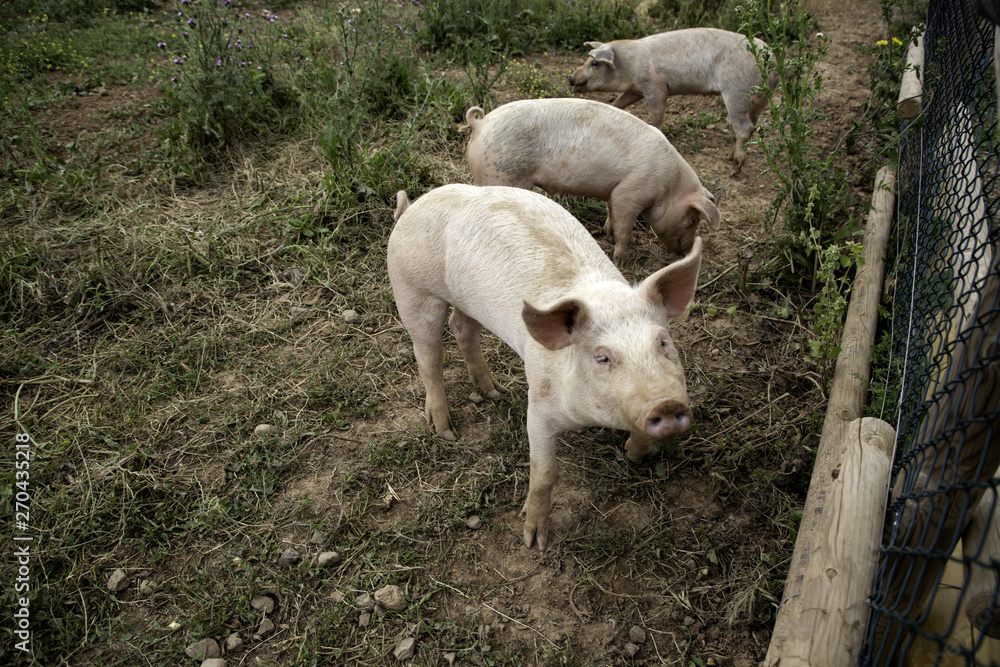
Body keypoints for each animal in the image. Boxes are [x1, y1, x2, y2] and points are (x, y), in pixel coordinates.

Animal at [387, 184, 701, 550]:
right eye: (602, 357)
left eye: (663, 343)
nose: (666, 405)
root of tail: (411, 207)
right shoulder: (539, 404)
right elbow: (544, 471)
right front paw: (533, 541)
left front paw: (633, 457)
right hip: (412, 292)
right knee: (428, 358)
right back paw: (446, 430)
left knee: (462, 327)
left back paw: (494, 392)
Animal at [464, 98, 719, 268]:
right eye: (693, 220)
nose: (686, 251)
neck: (667, 187)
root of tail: (480, 124)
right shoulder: (630, 193)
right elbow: (625, 230)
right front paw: (622, 263)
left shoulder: (613, 191)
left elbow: (611, 214)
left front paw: (607, 234)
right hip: (498, 175)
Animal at [567, 28, 779, 176]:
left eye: (595, 63)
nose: (570, 78)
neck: (629, 65)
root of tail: (773, 61)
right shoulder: (636, 89)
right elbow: (620, 102)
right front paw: (613, 109)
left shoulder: (655, 87)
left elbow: (657, 114)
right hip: (757, 101)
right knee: (752, 127)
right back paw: (728, 155)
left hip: (737, 94)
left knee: (744, 128)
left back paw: (734, 169)